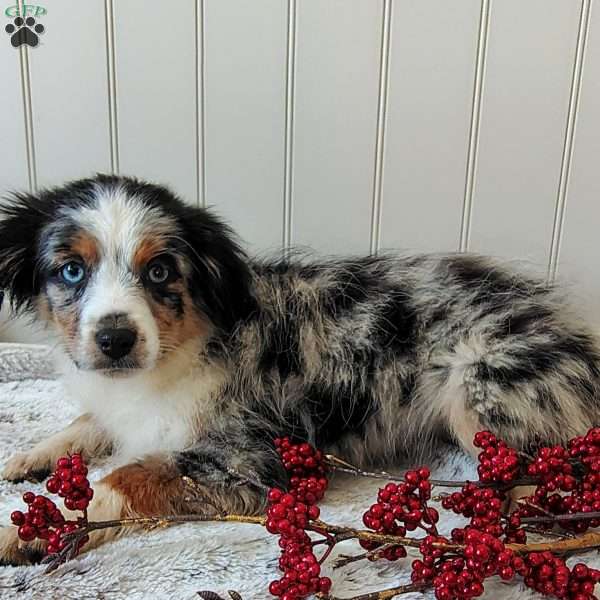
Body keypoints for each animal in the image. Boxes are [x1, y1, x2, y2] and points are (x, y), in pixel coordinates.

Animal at [1, 172, 600, 564]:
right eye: (71, 270)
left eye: (160, 271)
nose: (115, 340)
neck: (180, 350)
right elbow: (88, 421)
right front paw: (31, 457)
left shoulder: (248, 459)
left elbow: (125, 476)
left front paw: (28, 531)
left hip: (478, 387)